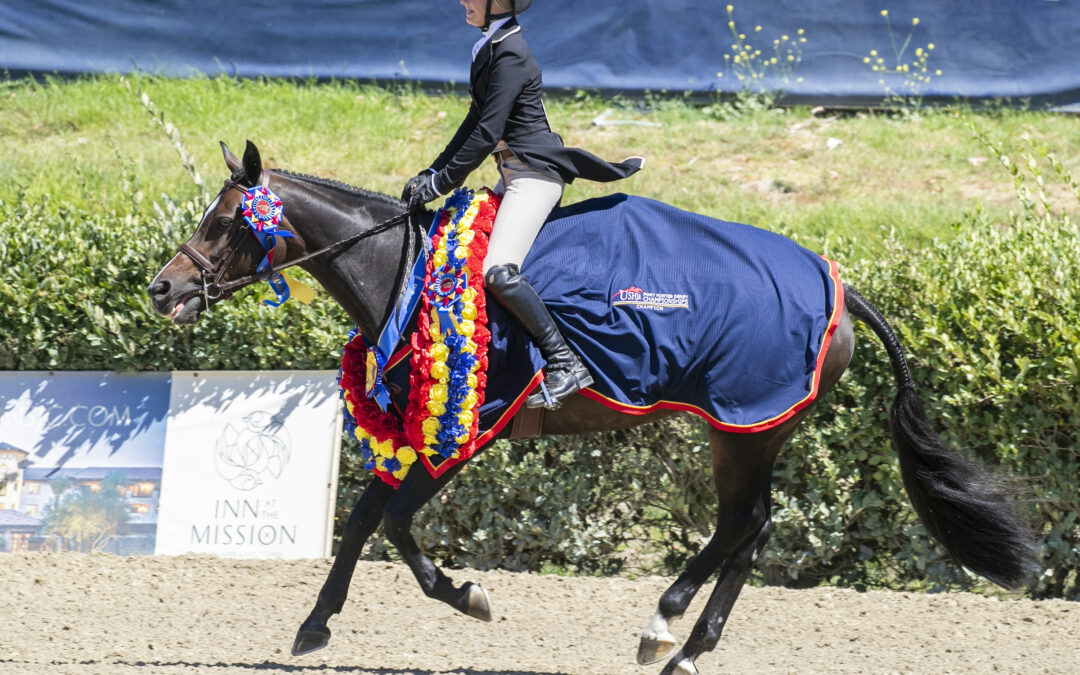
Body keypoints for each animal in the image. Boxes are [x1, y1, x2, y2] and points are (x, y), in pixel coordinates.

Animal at [147, 142, 1032, 673]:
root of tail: (836, 287)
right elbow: (362, 520)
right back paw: (686, 643)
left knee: (744, 524)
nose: (162, 288)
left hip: (747, 425)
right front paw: (315, 624)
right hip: (748, 430)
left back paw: (666, 626)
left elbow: (394, 523)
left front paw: (468, 595)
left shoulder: (468, 430)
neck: (406, 264)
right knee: (751, 527)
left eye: (222, 222)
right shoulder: (422, 432)